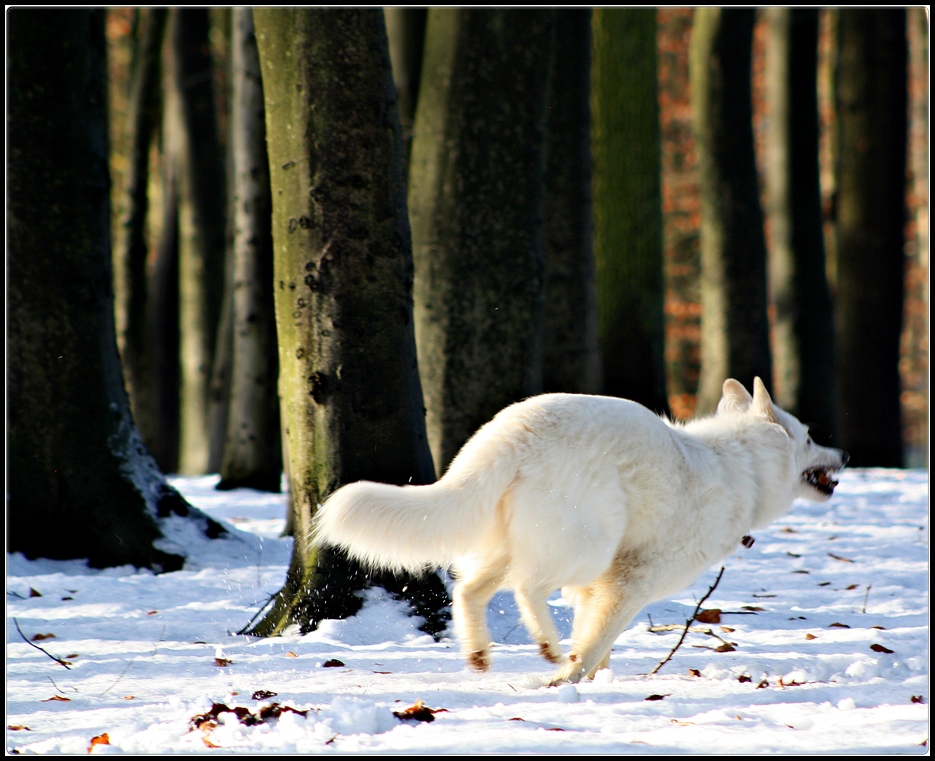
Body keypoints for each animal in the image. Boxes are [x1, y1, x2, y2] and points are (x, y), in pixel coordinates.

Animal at [314, 378, 848, 684]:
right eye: (809, 438)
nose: (844, 455)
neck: (742, 467)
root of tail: (512, 434)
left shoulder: (600, 587)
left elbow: (597, 643)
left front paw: (590, 683)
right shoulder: (629, 582)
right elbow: (595, 642)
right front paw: (569, 678)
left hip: (517, 546)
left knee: (469, 590)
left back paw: (481, 653)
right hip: (585, 547)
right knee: (527, 589)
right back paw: (546, 647)